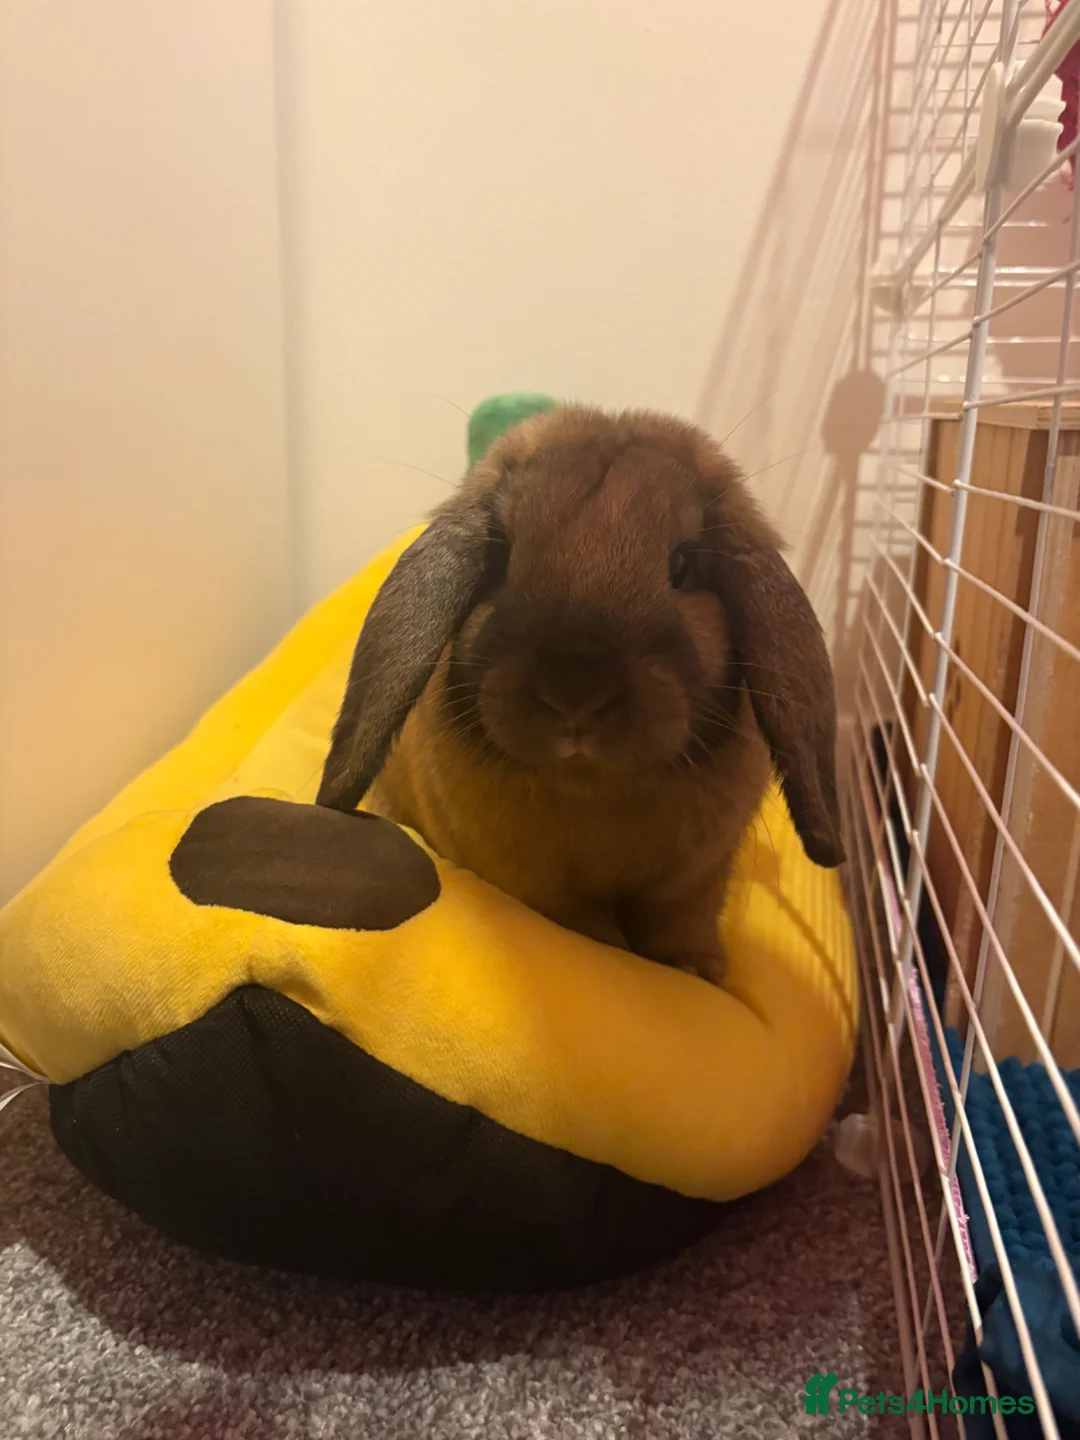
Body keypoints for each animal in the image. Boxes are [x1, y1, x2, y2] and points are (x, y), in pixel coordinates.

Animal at [315, 404, 844, 984]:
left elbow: (681, 924)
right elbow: (593, 934)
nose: (575, 691)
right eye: (500, 557)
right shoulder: (544, 890)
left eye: (682, 565)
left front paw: (696, 971)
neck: (595, 790)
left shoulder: (696, 884)